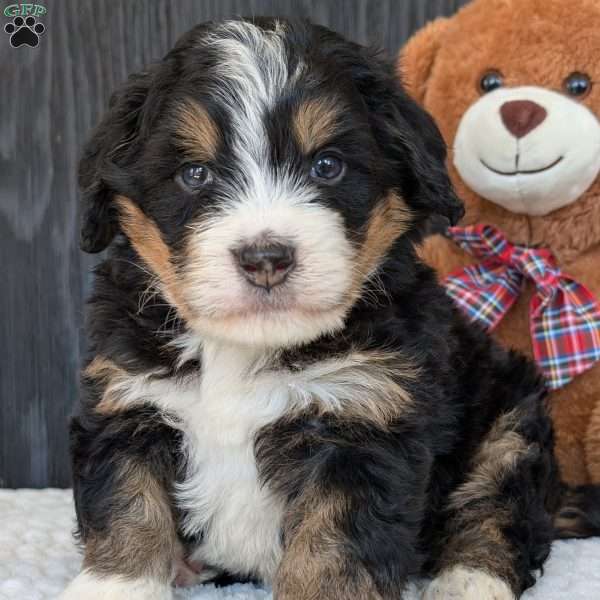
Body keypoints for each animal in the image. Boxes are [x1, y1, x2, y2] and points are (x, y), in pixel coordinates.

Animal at [61, 16, 596, 596]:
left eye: (327, 166)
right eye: (196, 174)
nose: (265, 257)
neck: (243, 348)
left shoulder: (364, 422)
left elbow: (333, 543)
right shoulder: (128, 400)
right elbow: (128, 504)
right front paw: (114, 584)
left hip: (511, 421)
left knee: (495, 507)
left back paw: (468, 580)